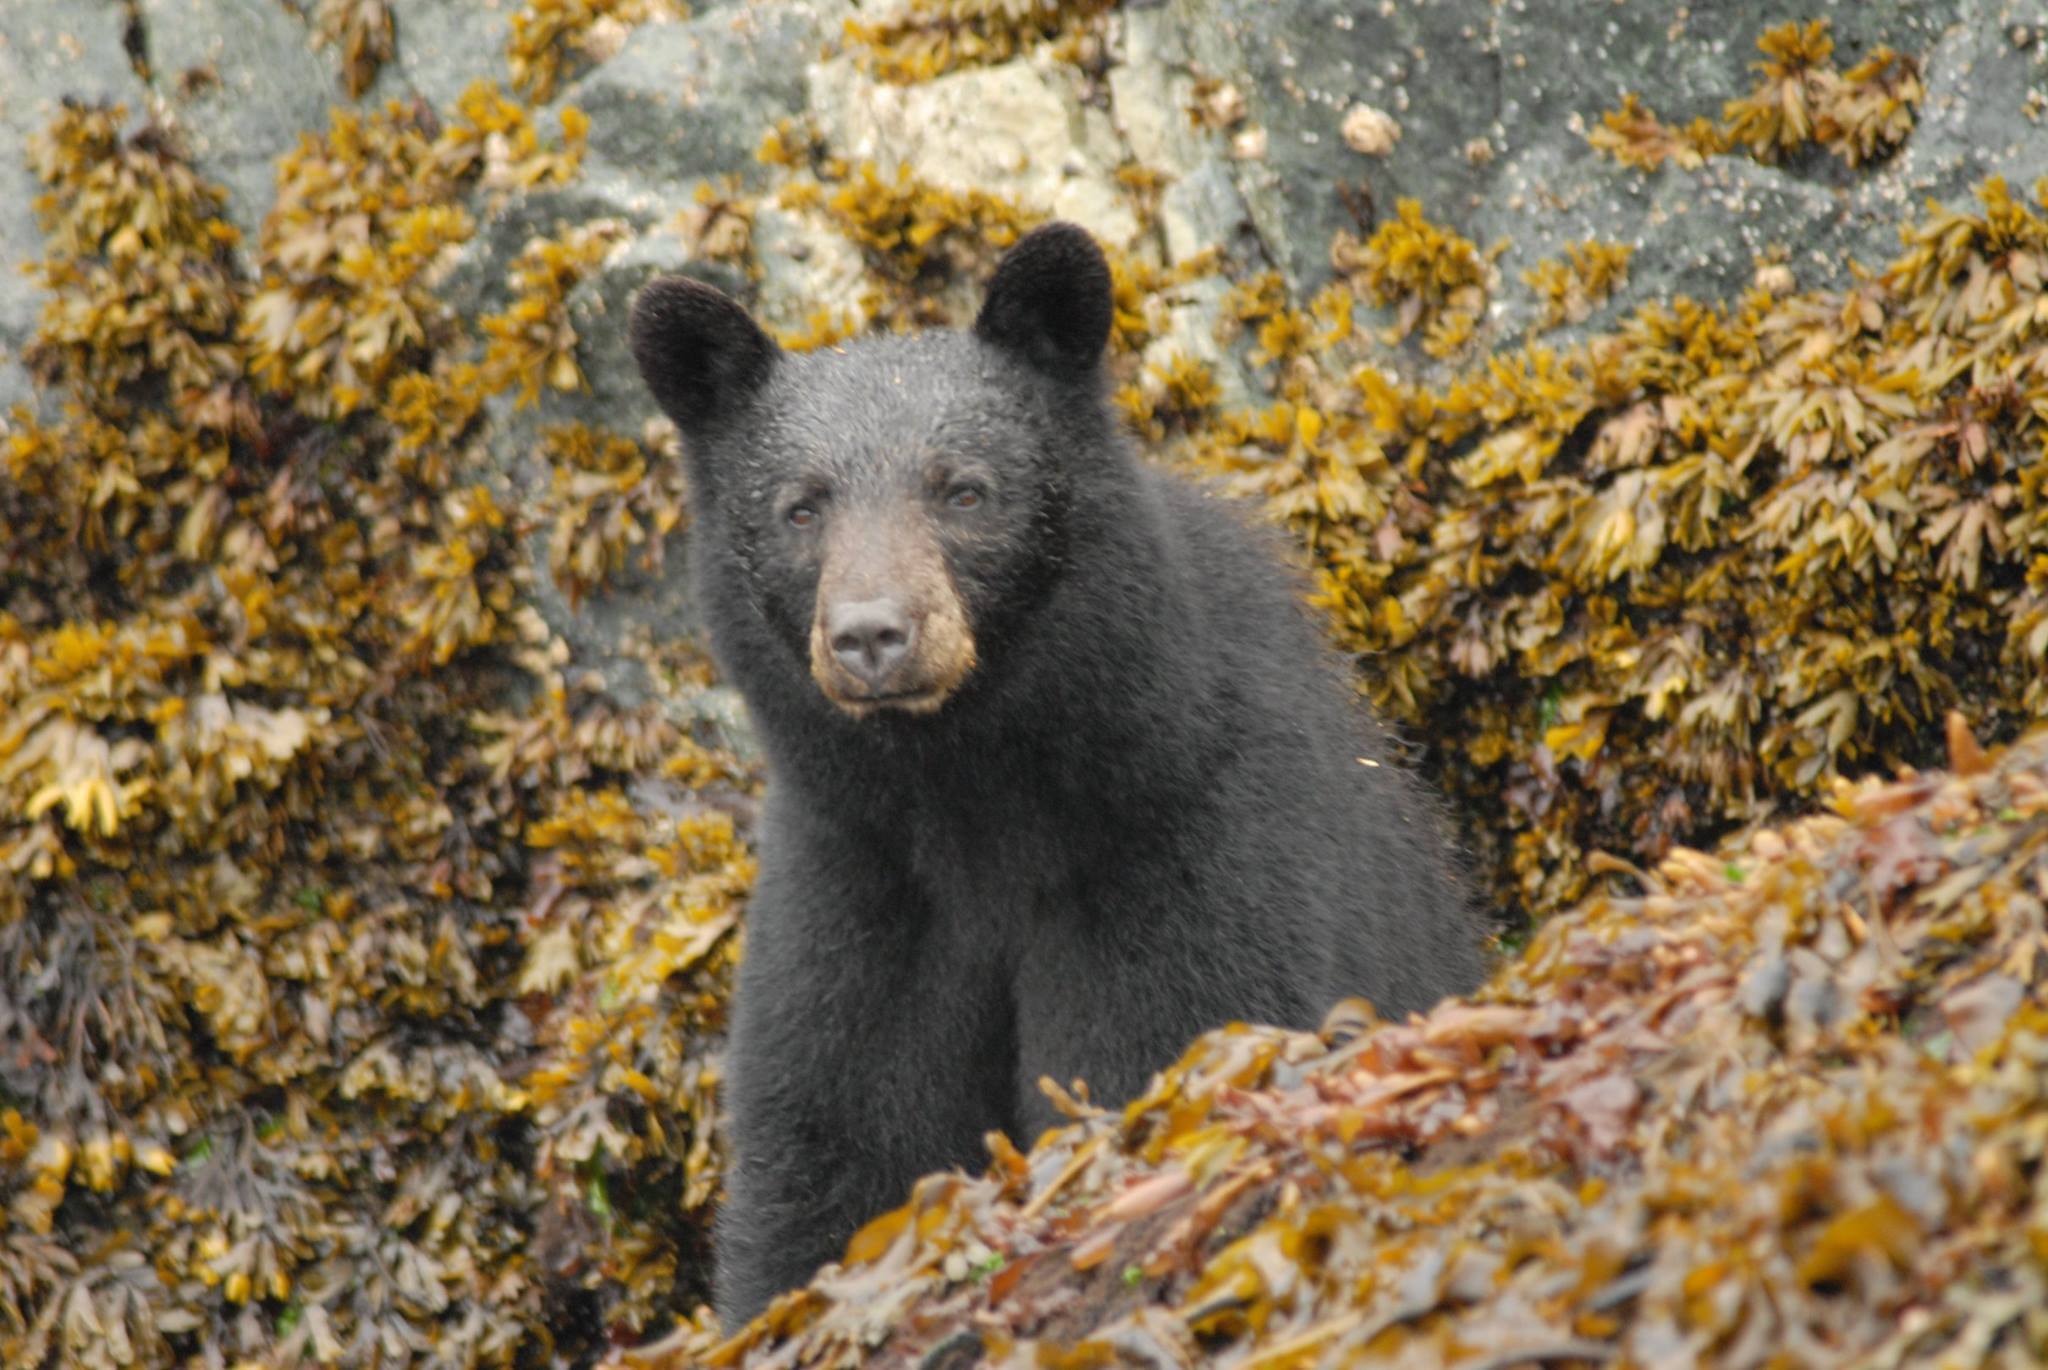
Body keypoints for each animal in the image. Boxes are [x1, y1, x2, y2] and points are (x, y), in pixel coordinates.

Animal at [628, 222, 1483, 1328]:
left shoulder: (1194, 848)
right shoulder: (857, 888)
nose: (871, 634)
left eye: (964, 489)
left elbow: (1156, 1053)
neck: (976, 797)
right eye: (800, 508)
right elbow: (833, 1150)